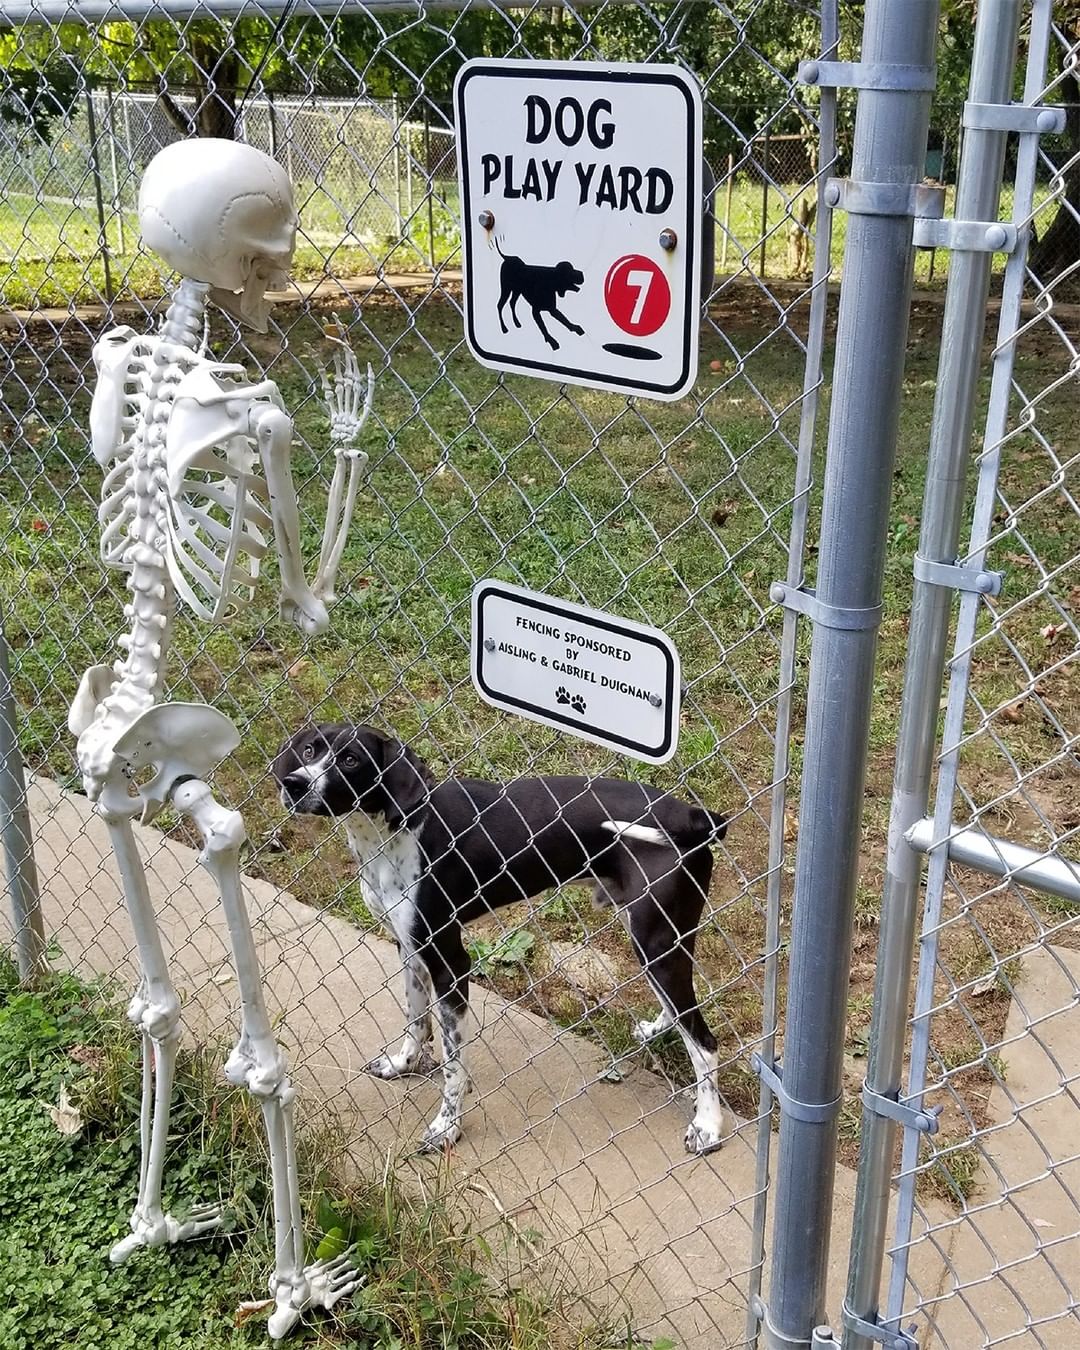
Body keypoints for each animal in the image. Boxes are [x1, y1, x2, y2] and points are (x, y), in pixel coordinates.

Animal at [270, 723, 729, 1155]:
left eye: (350, 760)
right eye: (310, 750)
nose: (293, 783)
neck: (396, 831)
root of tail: (692, 815)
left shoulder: (451, 964)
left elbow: (453, 1065)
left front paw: (447, 1127)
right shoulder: (409, 948)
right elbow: (415, 1020)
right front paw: (403, 1063)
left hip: (657, 943)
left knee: (704, 1042)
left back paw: (708, 1125)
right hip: (661, 942)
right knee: (682, 1012)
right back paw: (658, 1030)